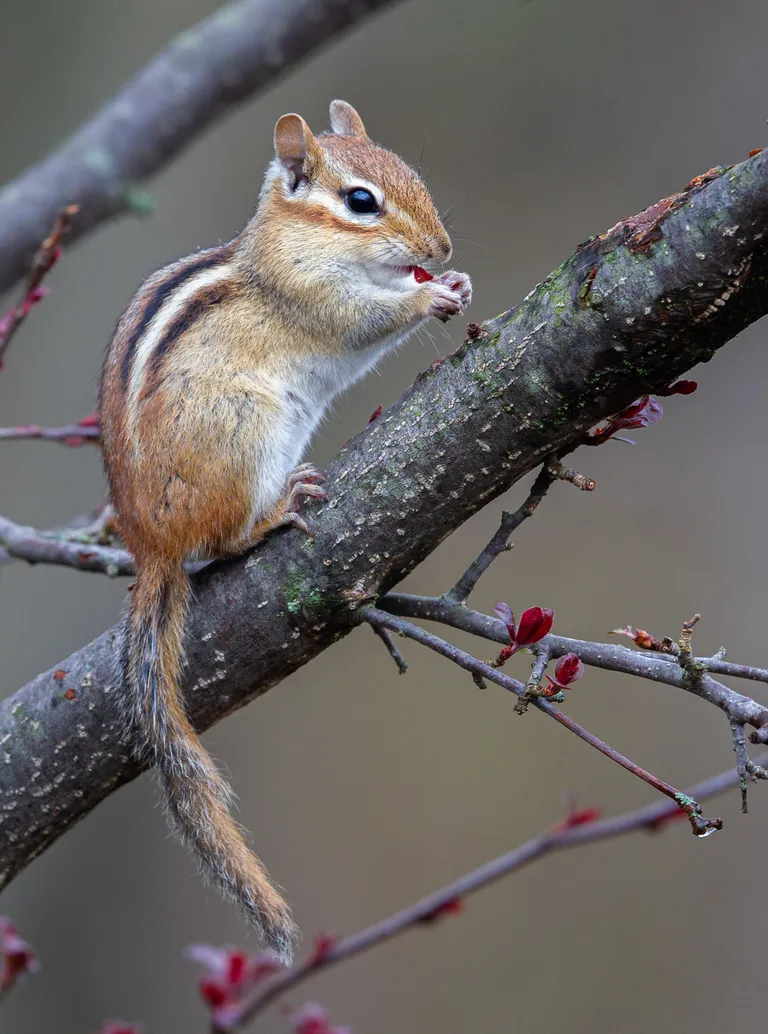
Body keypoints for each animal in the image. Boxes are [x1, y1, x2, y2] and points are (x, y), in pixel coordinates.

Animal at [100, 100, 472, 963]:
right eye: (361, 201)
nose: (441, 249)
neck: (287, 242)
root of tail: (150, 549)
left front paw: (456, 282)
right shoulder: (317, 299)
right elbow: (362, 323)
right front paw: (426, 301)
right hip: (245, 431)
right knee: (223, 541)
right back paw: (277, 510)